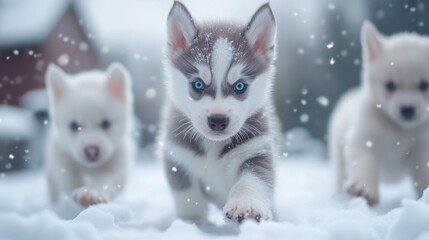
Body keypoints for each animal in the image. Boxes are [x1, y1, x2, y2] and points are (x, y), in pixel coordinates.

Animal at [45, 63, 134, 206]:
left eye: (105, 123)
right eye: (74, 125)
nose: (92, 151)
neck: (90, 168)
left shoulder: (118, 163)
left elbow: (107, 179)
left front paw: (92, 192)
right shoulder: (61, 158)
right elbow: (70, 179)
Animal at [159, 0, 280, 224]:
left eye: (240, 86)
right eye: (198, 84)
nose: (217, 120)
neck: (212, 146)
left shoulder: (256, 150)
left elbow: (252, 180)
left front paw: (246, 205)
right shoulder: (177, 158)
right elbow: (189, 199)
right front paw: (193, 223)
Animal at [330, 20, 428, 205]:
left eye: (424, 85)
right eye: (390, 85)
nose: (407, 109)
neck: (399, 130)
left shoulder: (421, 147)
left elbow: (423, 169)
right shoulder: (362, 138)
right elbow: (364, 162)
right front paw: (364, 189)